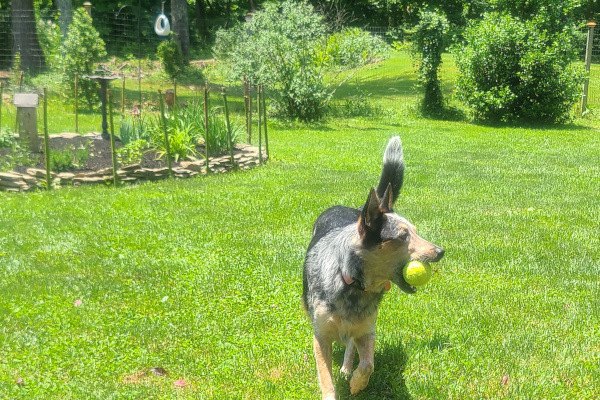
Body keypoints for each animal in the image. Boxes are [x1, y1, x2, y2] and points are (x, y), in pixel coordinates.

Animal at [302, 136, 442, 398]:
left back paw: (347, 369)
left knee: (350, 347)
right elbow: (326, 379)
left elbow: (368, 363)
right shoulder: (320, 337)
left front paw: (357, 382)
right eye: (402, 236)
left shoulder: (367, 330)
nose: (440, 251)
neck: (352, 282)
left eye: (416, 232)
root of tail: (357, 209)